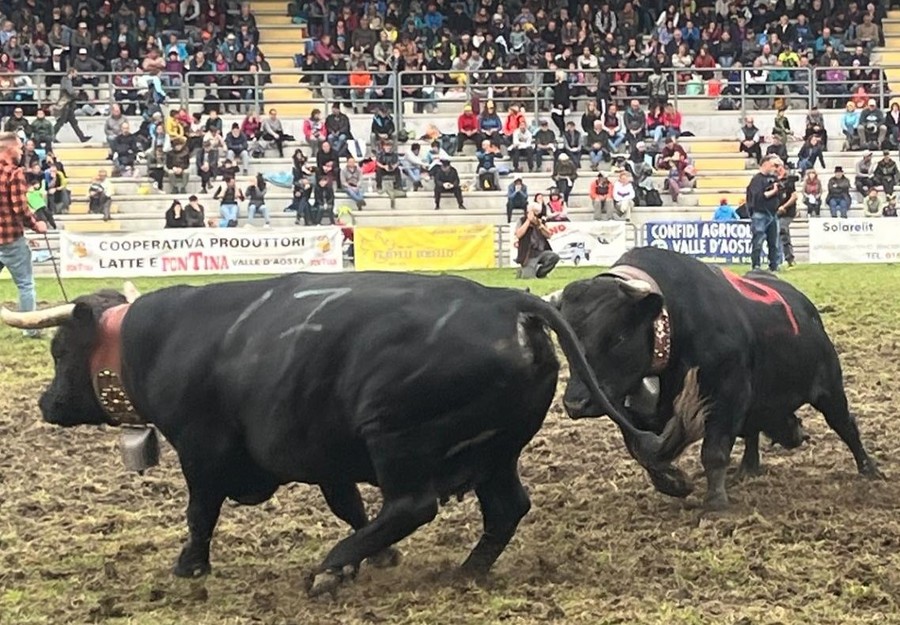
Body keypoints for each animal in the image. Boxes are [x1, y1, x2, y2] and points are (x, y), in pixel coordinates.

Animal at [1, 272, 684, 596]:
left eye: (61, 349)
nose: (46, 402)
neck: (164, 338)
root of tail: (507, 302)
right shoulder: (325, 454)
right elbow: (349, 504)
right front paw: (374, 556)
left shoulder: (202, 449)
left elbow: (200, 512)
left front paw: (190, 566)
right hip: (496, 453)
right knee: (505, 508)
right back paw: (463, 570)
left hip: (398, 436)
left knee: (413, 503)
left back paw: (329, 569)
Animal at [560, 246, 884, 510]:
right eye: (566, 339)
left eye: (618, 337)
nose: (576, 403)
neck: (676, 321)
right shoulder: (632, 407)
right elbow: (643, 450)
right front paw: (674, 483)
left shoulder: (727, 393)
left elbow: (713, 451)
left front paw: (715, 501)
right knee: (754, 430)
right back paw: (750, 466)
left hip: (829, 388)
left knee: (845, 424)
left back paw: (869, 469)